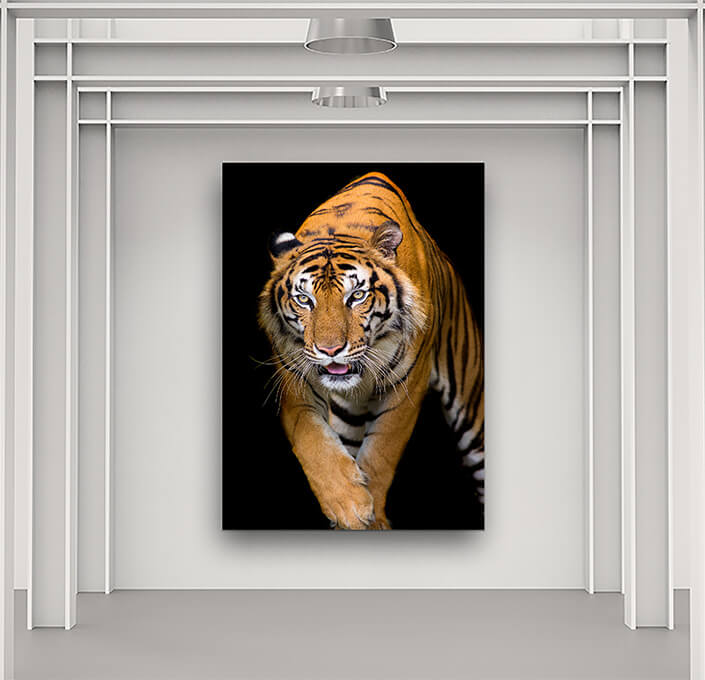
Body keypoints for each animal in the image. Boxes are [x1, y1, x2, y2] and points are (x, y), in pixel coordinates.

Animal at [258, 171, 484, 530]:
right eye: (304, 299)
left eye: (357, 296)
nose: (330, 350)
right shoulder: (294, 381)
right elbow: (311, 440)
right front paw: (347, 503)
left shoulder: (407, 387)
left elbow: (381, 451)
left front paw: (369, 513)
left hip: (470, 403)